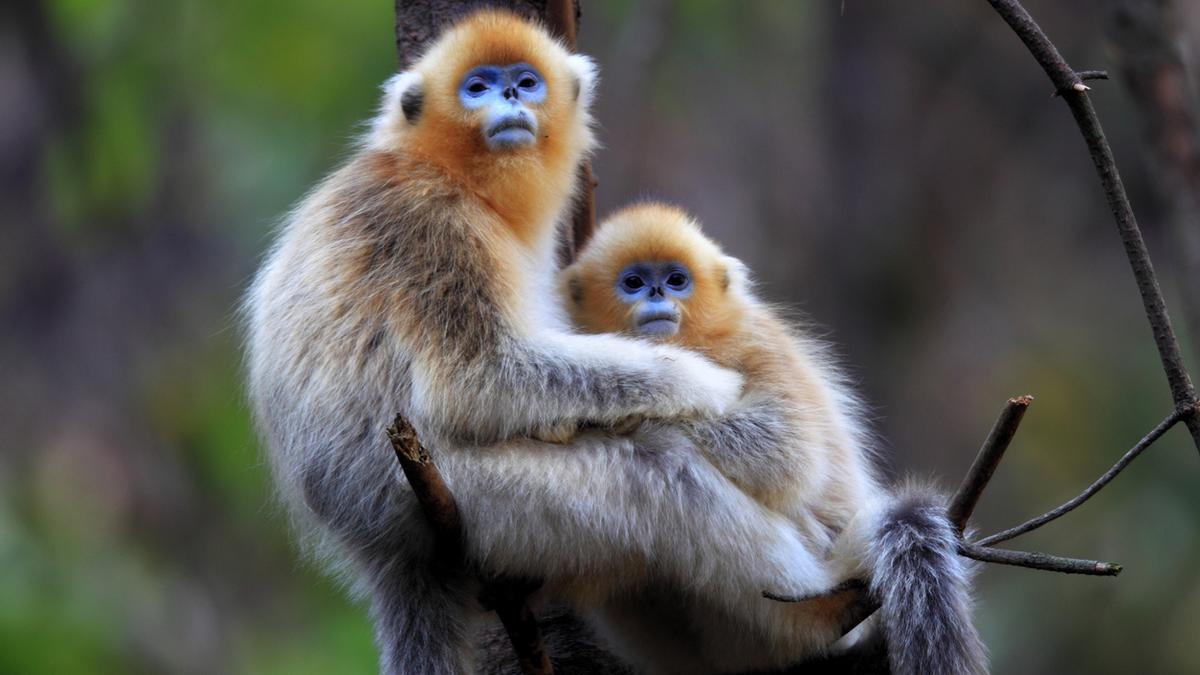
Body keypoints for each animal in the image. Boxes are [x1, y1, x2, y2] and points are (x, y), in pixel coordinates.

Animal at [244, 11, 844, 672]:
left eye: (526, 82)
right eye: (476, 87)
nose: (508, 95)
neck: (440, 169)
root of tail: (371, 542)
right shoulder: (431, 220)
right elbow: (478, 379)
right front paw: (700, 383)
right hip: (459, 498)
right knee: (664, 474)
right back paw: (823, 609)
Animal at [559, 200, 984, 672]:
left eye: (676, 280)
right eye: (633, 282)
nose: (655, 294)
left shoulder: (756, 342)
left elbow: (786, 453)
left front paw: (623, 416)